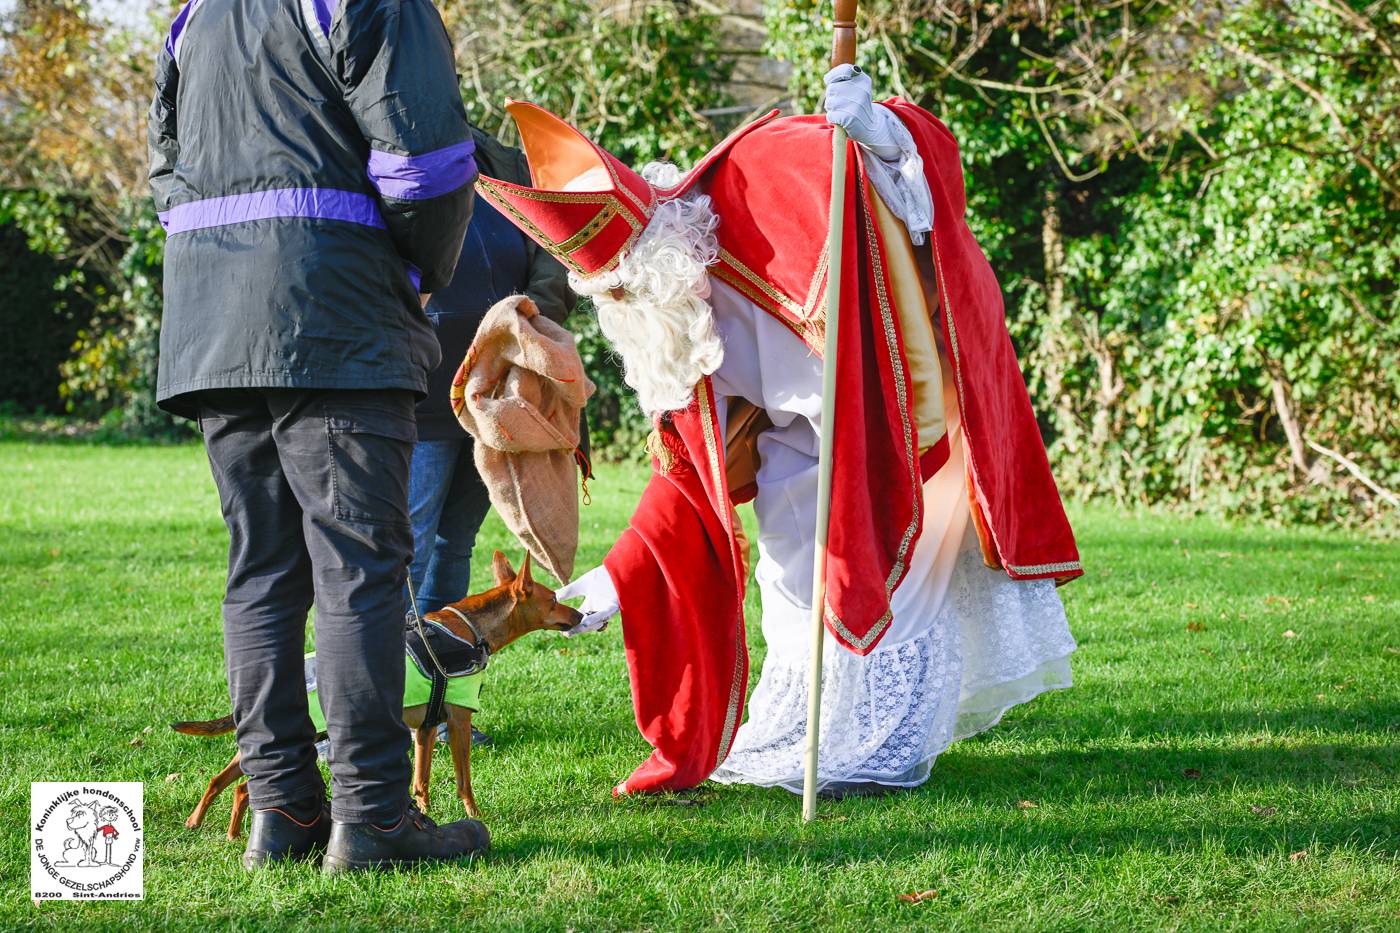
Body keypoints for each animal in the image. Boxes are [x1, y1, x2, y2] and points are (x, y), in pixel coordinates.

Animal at [173, 549, 579, 840]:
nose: (578, 615)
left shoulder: (425, 729)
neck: (469, 630)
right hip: (310, 738)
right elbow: (463, 780)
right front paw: (475, 816)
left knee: (223, 782)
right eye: (553, 599)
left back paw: (208, 826)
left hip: (259, 743)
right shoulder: (459, 720)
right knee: (245, 788)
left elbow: (421, 781)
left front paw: (425, 815)